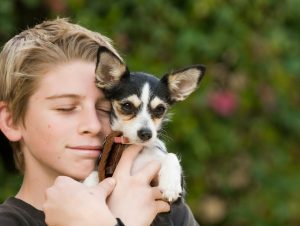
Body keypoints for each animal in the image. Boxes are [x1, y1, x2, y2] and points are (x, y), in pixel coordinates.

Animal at [85, 45, 206, 201]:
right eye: (127, 106)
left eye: (160, 109)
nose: (146, 134)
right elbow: (95, 173)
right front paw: (88, 187)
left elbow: (171, 156)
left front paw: (170, 185)